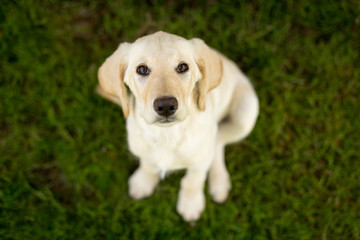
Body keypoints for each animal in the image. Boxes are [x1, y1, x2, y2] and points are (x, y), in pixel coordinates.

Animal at [97, 31, 258, 221]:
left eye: (182, 67)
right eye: (142, 70)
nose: (166, 105)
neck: (167, 134)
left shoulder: (200, 162)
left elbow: (192, 180)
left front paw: (191, 203)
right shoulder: (141, 148)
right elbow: (147, 164)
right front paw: (143, 182)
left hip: (246, 113)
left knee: (218, 142)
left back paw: (219, 181)